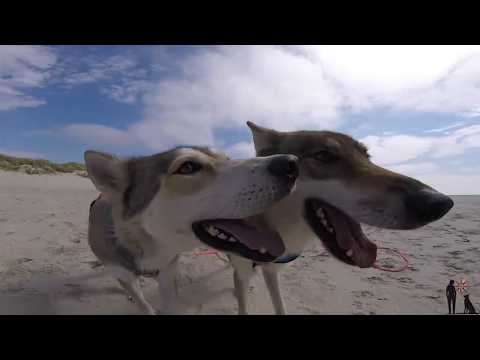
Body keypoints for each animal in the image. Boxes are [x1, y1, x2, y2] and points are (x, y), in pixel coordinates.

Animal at [84, 146, 298, 316]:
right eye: (187, 167)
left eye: (226, 158)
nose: (292, 163)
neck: (150, 251)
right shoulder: (124, 274)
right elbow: (143, 305)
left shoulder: (167, 275)